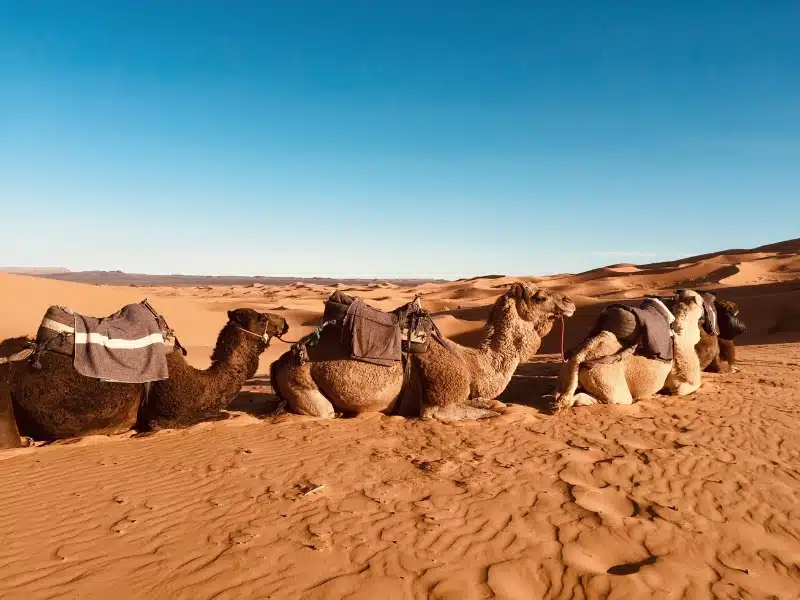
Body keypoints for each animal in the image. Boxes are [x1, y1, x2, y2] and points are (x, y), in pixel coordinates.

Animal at [274, 282, 576, 420]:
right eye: (540, 297)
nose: (569, 302)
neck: (471, 363)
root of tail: (277, 364)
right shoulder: (438, 404)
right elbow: (495, 412)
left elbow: (496, 405)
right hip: (302, 383)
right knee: (323, 412)